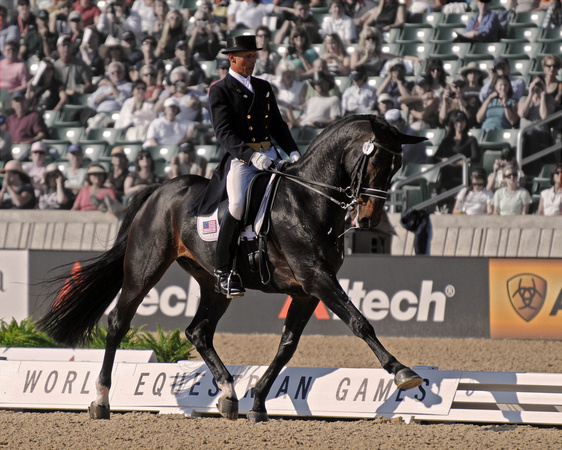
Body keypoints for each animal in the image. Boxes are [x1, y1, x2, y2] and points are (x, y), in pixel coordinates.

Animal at [38, 113, 424, 422]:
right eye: (375, 162)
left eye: (396, 167)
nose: (370, 219)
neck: (307, 200)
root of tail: (161, 188)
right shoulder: (316, 278)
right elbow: (359, 322)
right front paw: (402, 371)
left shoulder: (308, 290)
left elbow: (287, 346)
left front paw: (258, 403)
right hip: (144, 269)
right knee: (119, 323)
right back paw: (101, 401)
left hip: (214, 284)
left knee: (198, 331)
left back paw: (228, 394)